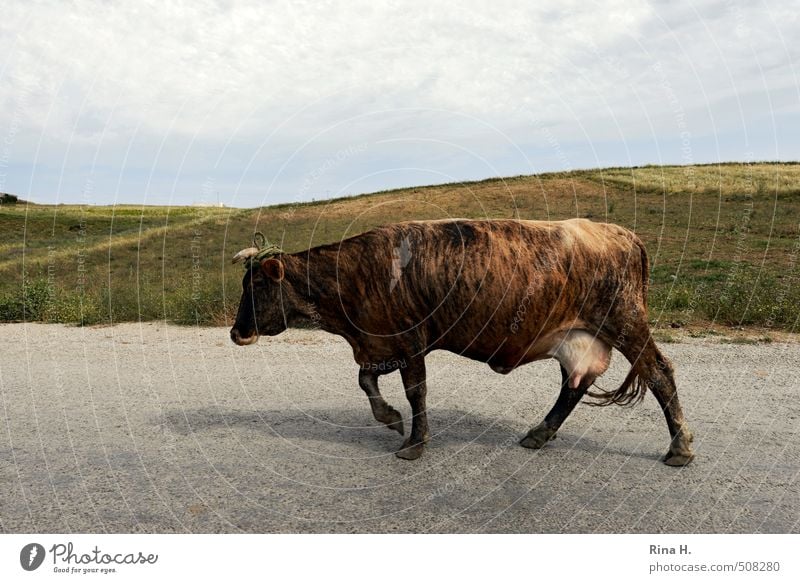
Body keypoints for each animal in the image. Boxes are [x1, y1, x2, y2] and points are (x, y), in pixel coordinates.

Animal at [230, 217, 692, 468]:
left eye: (257, 285)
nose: (237, 332)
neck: (356, 275)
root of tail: (620, 234)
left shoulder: (409, 342)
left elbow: (415, 391)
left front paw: (414, 442)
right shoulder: (378, 344)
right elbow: (366, 381)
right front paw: (390, 418)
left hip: (626, 323)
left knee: (659, 373)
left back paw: (680, 448)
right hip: (576, 337)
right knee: (572, 387)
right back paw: (539, 433)